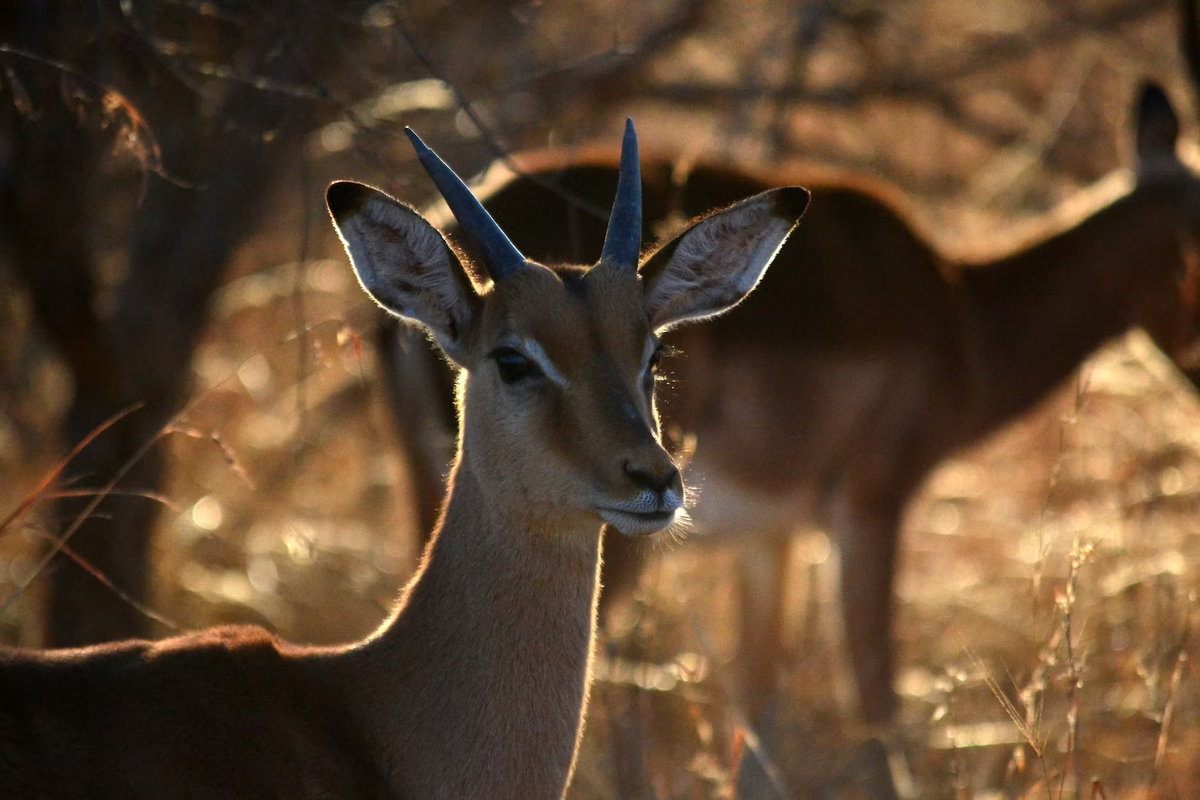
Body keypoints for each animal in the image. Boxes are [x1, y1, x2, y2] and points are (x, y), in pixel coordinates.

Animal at [379, 79, 1200, 724]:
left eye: (655, 352)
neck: (960, 315)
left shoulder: (771, 539)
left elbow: (758, 711)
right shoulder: (870, 508)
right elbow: (876, 704)